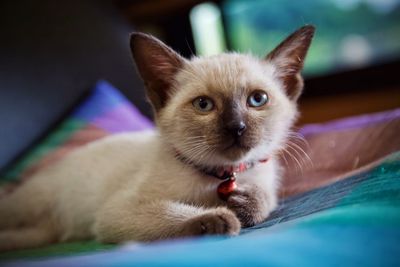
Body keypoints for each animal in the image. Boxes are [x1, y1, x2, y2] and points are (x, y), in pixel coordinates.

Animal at [0, 25, 314, 251]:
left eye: (257, 100)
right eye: (204, 105)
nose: (236, 127)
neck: (220, 176)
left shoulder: (264, 176)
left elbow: (266, 199)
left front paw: (245, 205)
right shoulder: (119, 212)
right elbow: (171, 214)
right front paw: (220, 217)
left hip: (37, 234)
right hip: (28, 207)